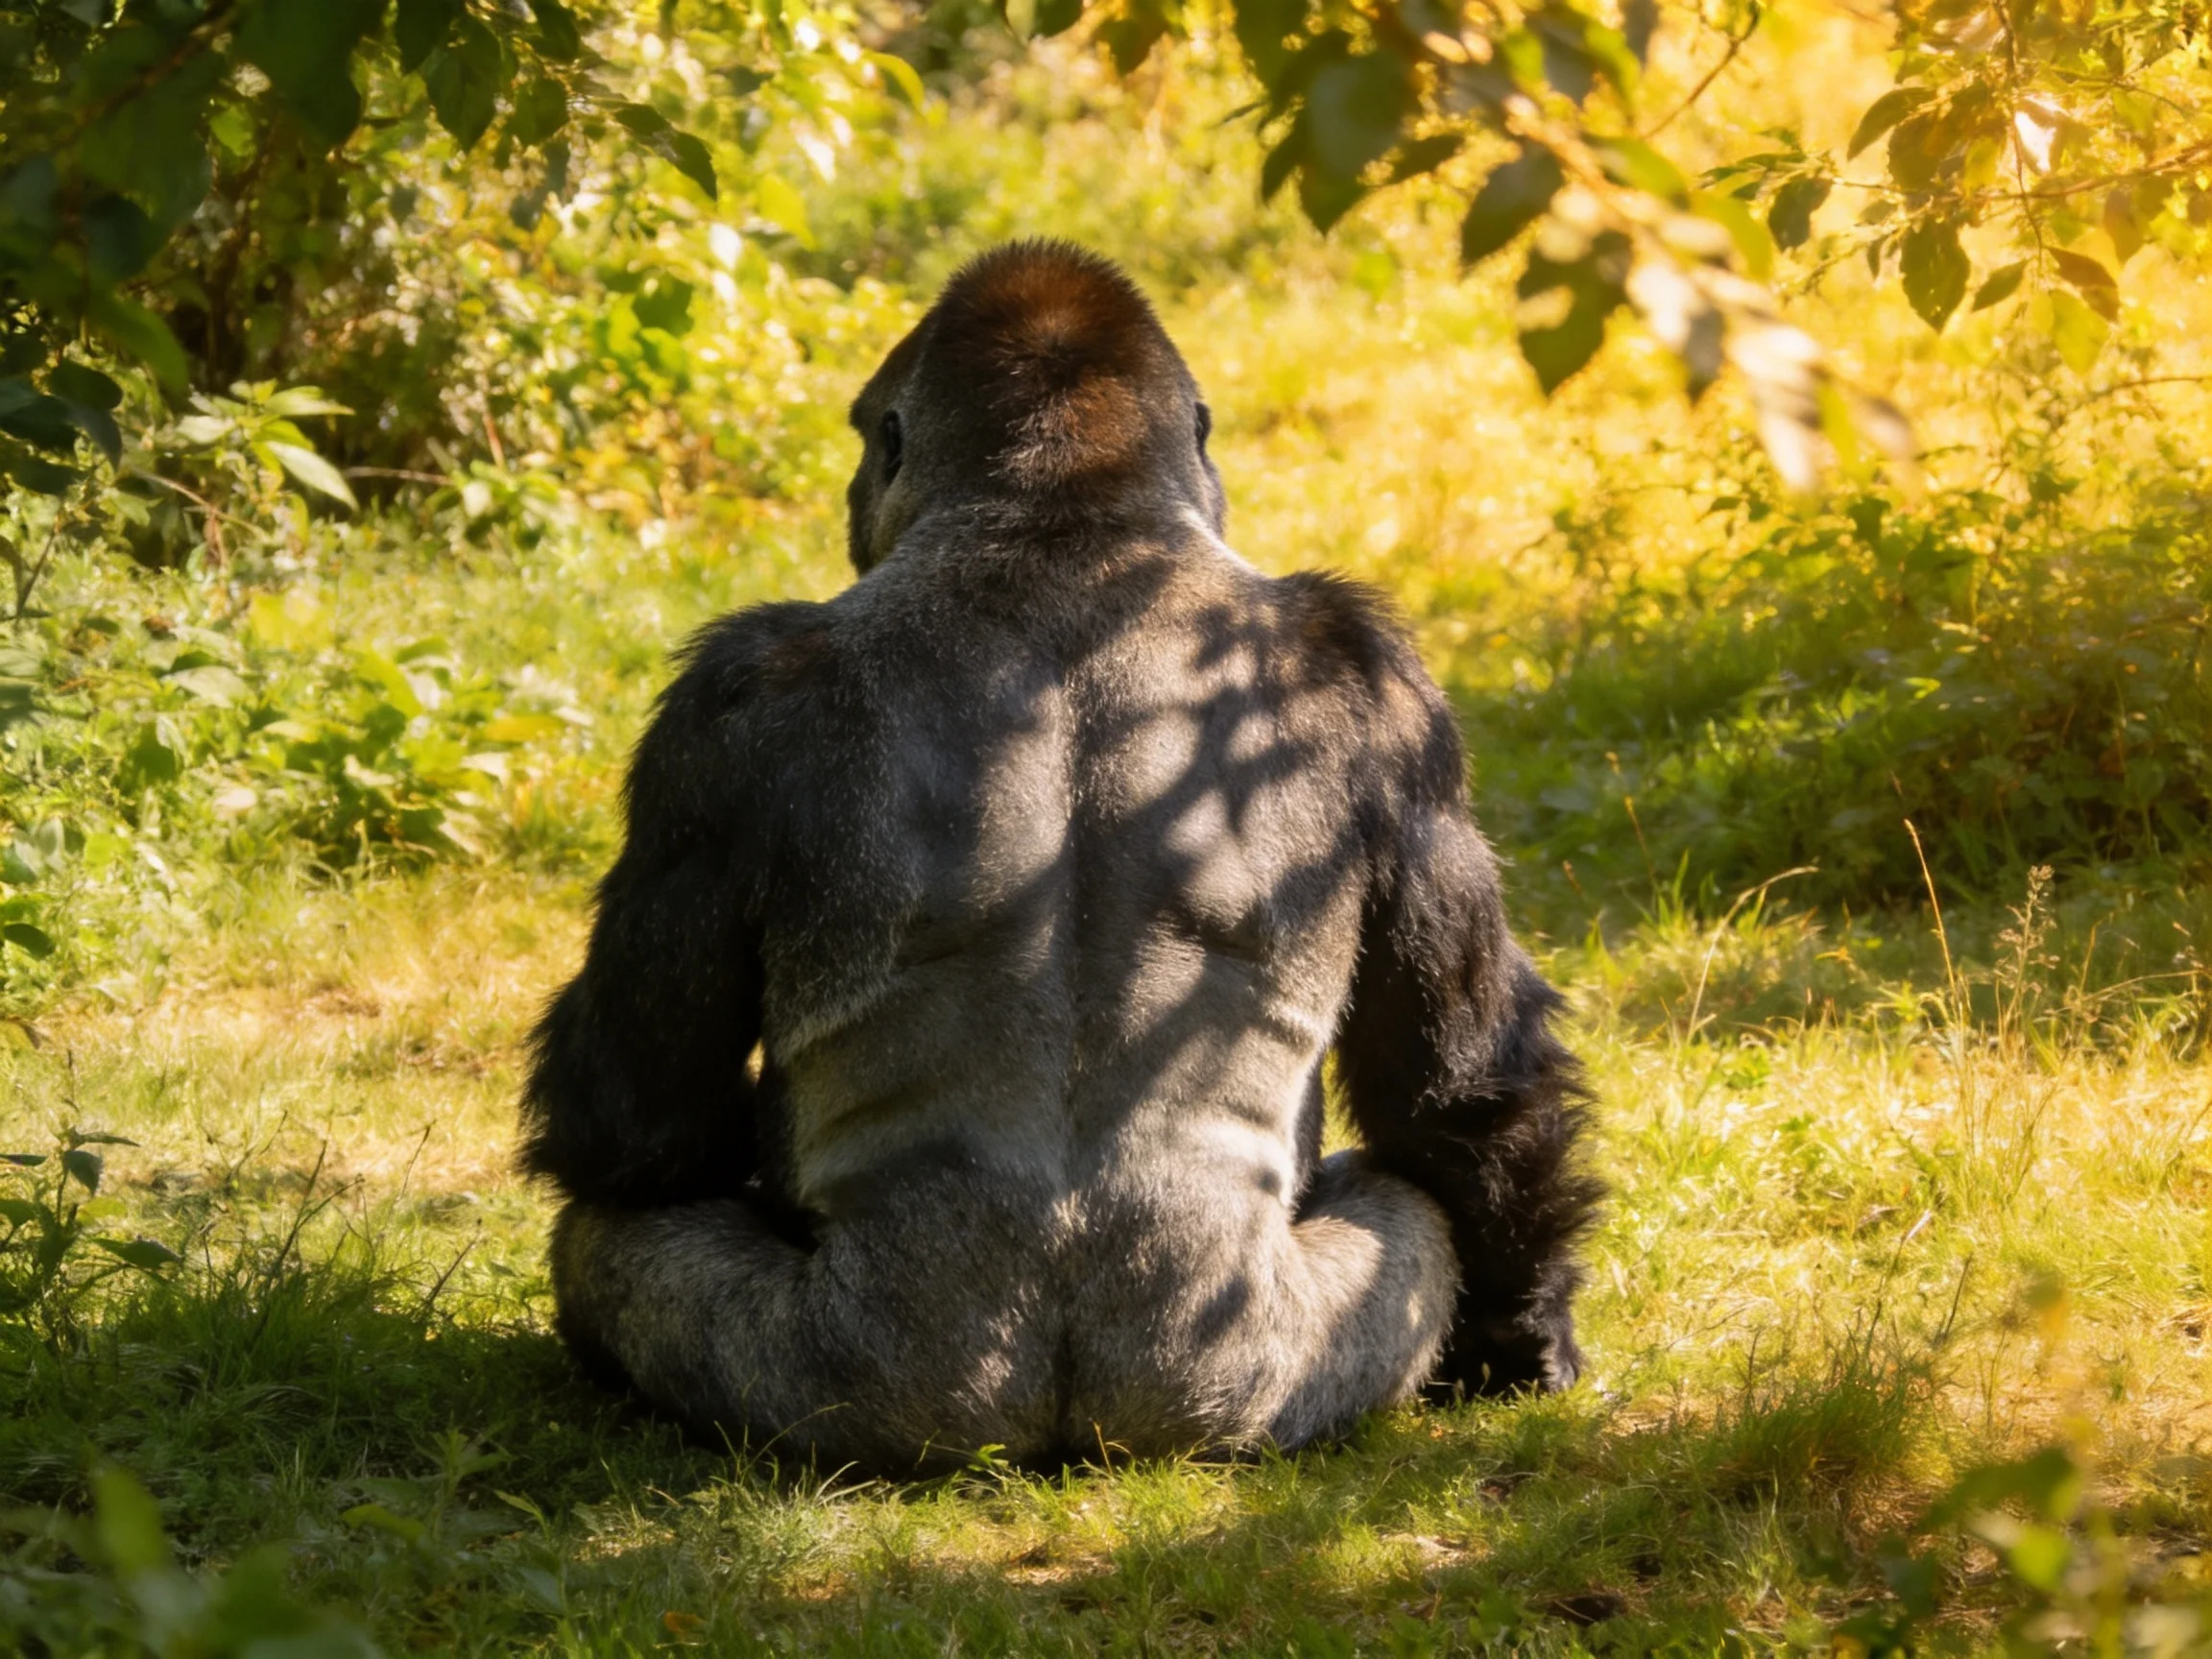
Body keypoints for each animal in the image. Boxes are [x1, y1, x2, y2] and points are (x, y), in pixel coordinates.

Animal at [520, 240, 1597, 1473]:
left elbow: (637, 1118)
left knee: (611, 1229)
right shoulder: (1387, 683)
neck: (1064, 516)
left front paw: (1524, 1331)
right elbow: (1457, 1085)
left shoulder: (721, 701)